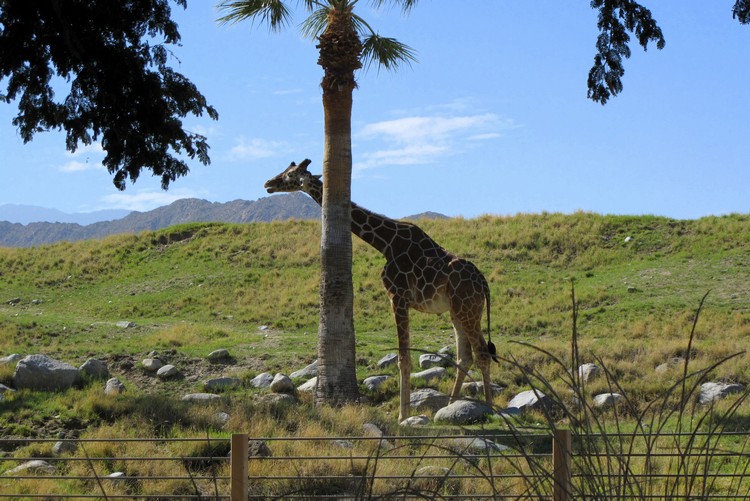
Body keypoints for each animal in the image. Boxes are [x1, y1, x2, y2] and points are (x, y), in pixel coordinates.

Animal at [264, 159, 500, 418]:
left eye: (290, 175)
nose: (268, 183)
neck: (385, 243)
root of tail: (484, 283)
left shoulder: (398, 297)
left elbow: (403, 359)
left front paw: (402, 415)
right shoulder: (403, 300)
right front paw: (406, 412)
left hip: (468, 309)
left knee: (482, 352)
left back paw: (489, 408)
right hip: (457, 310)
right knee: (465, 356)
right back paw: (451, 405)